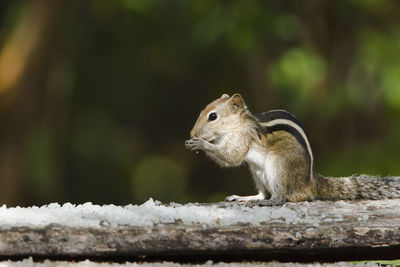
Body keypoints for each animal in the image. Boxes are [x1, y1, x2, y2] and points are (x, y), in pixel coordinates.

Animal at [186, 93, 400, 206]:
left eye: (213, 116)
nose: (192, 132)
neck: (240, 124)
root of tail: (309, 183)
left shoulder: (243, 136)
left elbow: (232, 157)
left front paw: (200, 143)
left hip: (278, 167)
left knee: (280, 197)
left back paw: (268, 201)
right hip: (257, 173)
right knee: (263, 193)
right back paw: (244, 198)